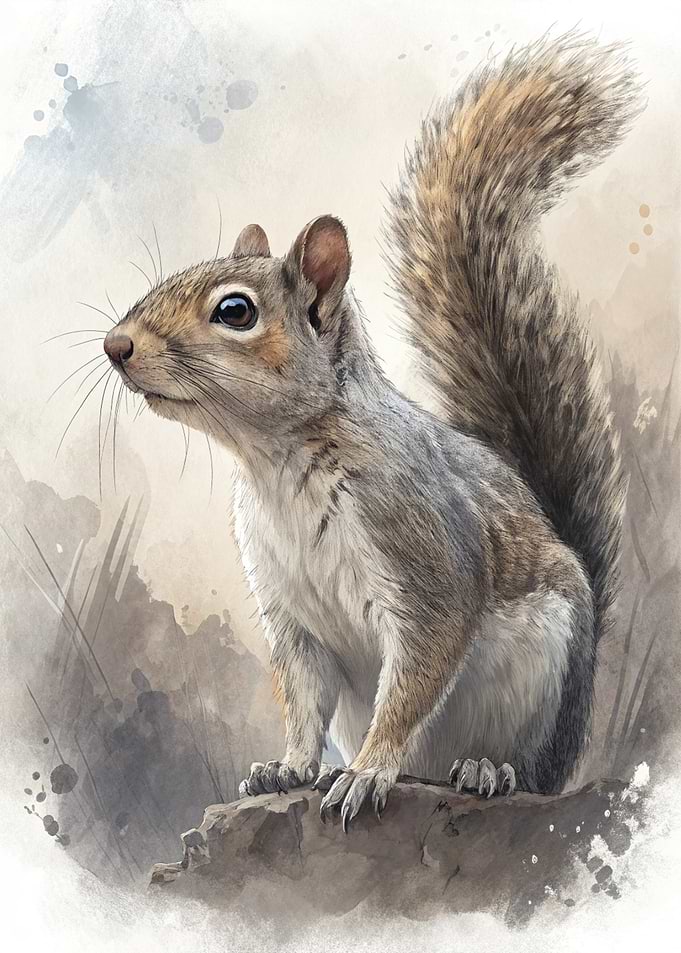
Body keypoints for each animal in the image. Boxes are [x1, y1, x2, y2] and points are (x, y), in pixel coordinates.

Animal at [103, 33, 641, 828]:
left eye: (235, 311)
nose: (116, 346)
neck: (277, 460)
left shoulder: (425, 560)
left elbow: (417, 675)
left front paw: (364, 772)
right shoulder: (290, 614)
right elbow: (302, 697)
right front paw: (290, 764)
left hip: (545, 681)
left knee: (529, 766)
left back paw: (487, 769)